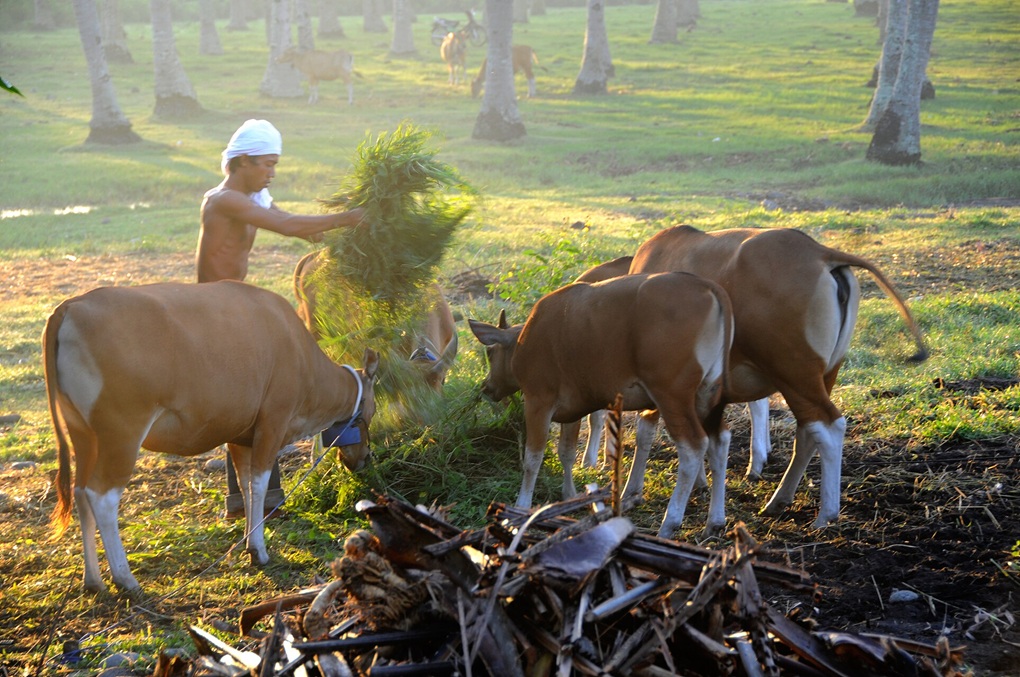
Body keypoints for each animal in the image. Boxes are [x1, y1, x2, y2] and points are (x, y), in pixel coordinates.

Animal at [45, 281, 380, 592]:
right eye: (372, 411)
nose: (364, 457)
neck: (298, 351)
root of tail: (72, 306)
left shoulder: (240, 436)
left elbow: (245, 485)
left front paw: (249, 543)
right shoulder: (273, 422)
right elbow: (259, 484)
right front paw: (259, 550)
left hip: (84, 435)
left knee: (80, 492)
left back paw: (93, 580)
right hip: (122, 433)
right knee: (101, 497)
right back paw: (125, 578)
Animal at [469, 272, 734, 537]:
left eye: (490, 353)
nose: (487, 387)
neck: (526, 339)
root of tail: (705, 285)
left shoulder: (538, 401)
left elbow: (532, 459)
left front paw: (521, 506)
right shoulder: (571, 409)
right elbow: (566, 452)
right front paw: (570, 496)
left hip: (672, 395)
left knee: (693, 447)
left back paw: (670, 523)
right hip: (707, 394)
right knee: (719, 439)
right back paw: (715, 520)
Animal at [629, 225, 928, 529]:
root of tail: (820, 253)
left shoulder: (662, 384)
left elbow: (646, 431)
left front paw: (632, 492)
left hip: (794, 375)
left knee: (828, 426)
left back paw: (825, 514)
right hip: (823, 375)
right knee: (808, 430)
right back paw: (779, 499)